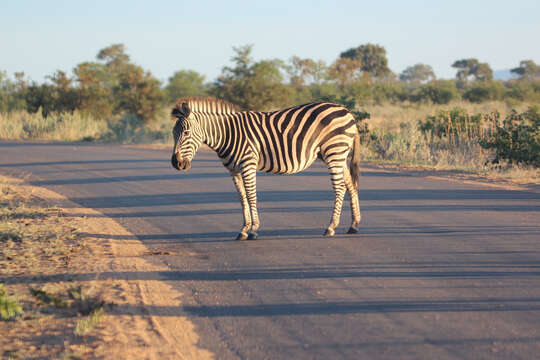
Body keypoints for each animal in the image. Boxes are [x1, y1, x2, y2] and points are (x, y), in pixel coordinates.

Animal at [171, 97, 360, 240]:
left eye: (186, 133)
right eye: (173, 134)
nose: (176, 163)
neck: (227, 134)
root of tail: (346, 110)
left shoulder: (248, 164)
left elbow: (251, 196)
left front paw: (253, 230)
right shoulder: (233, 170)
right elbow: (242, 198)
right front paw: (244, 229)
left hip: (334, 151)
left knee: (339, 188)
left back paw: (331, 227)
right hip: (340, 154)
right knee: (350, 185)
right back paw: (354, 225)